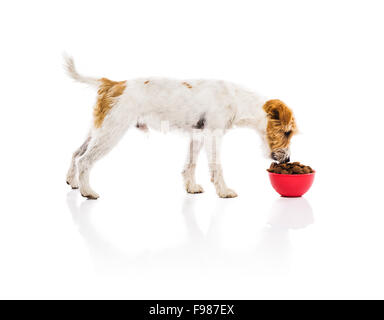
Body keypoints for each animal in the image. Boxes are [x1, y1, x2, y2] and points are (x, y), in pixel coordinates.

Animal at [63, 56, 296, 199]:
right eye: (287, 132)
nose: (288, 160)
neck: (237, 99)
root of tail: (114, 84)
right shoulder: (214, 136)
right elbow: (216, 167)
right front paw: (224, 191)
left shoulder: (197, 135)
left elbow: (190, 165)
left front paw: (191, 187)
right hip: (111, 133)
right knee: (85, 160)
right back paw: (87, 191)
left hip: (98, 130)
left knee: (76, 153)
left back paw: (72, 182)